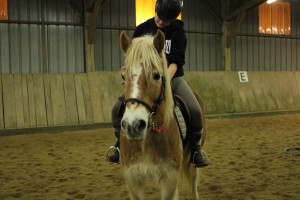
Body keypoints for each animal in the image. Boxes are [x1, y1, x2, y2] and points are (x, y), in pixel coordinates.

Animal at [119, 29, 206, 200]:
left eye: (157, 76)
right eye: (123, 76)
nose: (133, 126)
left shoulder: (169, 179)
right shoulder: (132, 179)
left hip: (192, 161)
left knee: (193, 184)